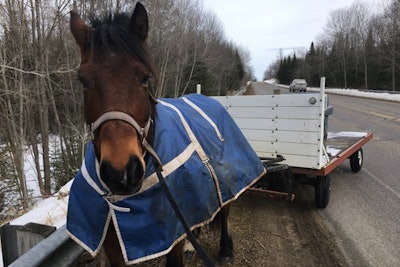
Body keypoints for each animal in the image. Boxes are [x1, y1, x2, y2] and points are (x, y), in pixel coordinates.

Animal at [68, 3, 238, 266]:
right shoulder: (111, 242)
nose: (121, 173)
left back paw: (226, 248)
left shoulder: (172, 233)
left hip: (225, 180)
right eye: (83, 81)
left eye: (145, 78)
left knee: (225, 208)